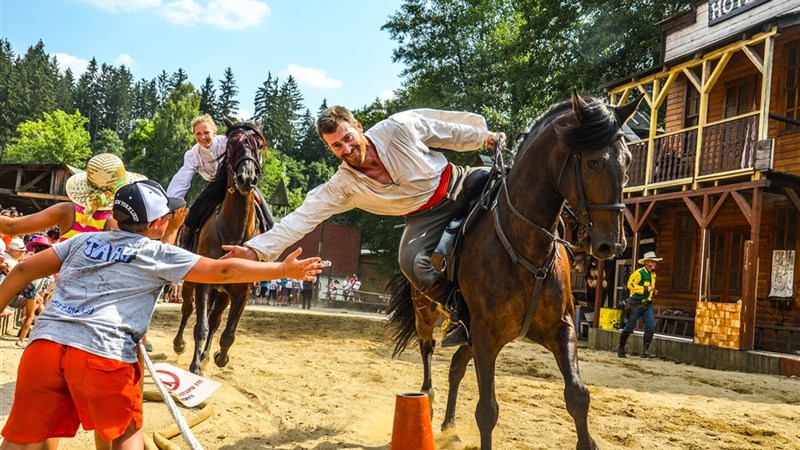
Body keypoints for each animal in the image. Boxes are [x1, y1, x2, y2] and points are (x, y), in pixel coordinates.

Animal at [388, 93, 644, 448]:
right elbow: (487, 410)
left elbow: (577, 396)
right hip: (426, 310)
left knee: (455, 366)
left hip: (468, 335)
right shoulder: (484, 333)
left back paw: (449, 425)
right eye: (593, 162)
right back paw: (429, 399)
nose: (612, 243)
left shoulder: (560, 328)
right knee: (428, 349)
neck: (524, 242)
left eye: (628, 160)